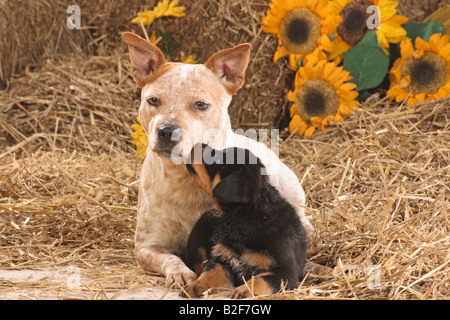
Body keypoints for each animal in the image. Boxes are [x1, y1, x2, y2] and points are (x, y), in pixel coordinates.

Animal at [181, 144, 308, 298]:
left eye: (219, 159)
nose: (197, 144)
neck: (244, 216)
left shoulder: (284, 272)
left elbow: (261, 279)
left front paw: (244, 290)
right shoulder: (223, 259)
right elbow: (210, 272)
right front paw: (195, 285)